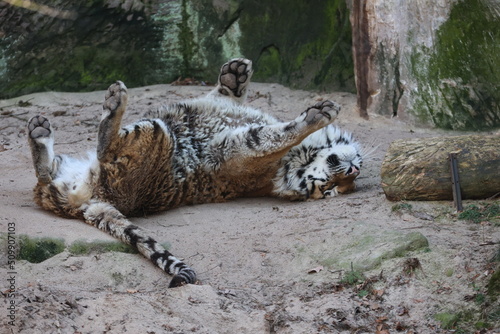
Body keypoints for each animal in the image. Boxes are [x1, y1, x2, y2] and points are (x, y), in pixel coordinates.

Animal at [27, 58, 364, 288]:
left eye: (329, 188)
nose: (353, 168)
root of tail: (83, 203)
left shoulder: (238, 148)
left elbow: (273, 136)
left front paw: (317, 115)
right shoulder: (222, 110)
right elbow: (226, 95)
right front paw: (235, 73)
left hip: (156, 135)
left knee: (104, 147)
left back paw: (112, 102)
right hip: (67, 170)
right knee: (46, 173)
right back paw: (40, 130)